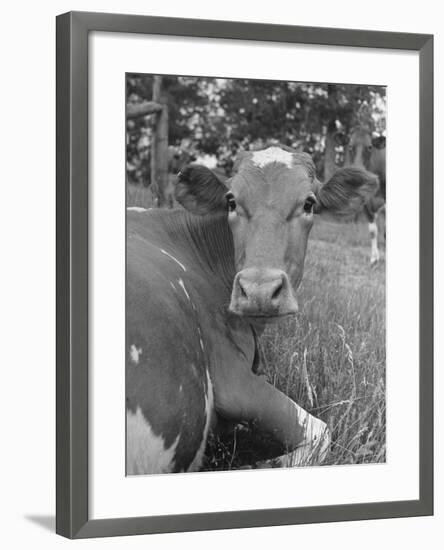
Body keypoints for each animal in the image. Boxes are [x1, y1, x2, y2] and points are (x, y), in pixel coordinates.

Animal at [126, 146, 380, 474]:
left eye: (309, 203)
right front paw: (267, 464)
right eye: (231, 201)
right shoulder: (233, 381)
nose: (259, 290)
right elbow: (321, 432)